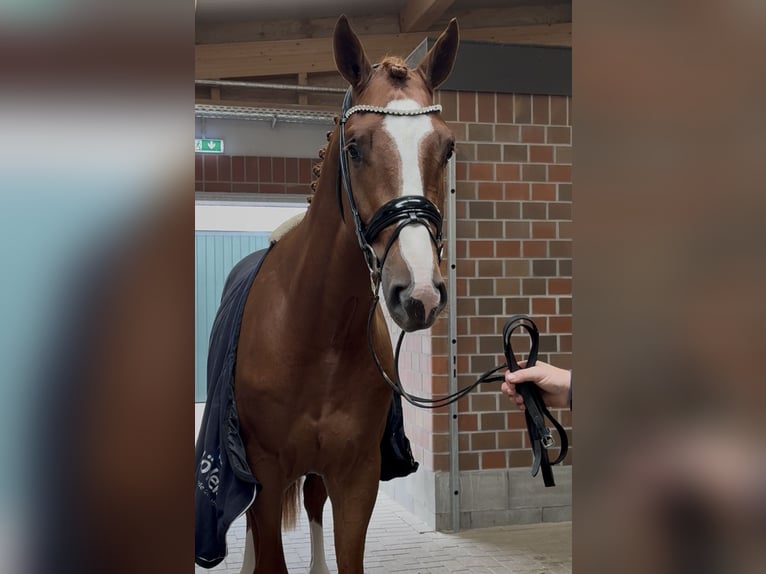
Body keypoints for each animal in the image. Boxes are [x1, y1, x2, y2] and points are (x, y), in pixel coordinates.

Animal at [233, 16, 459, 573]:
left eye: (446, 147)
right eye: (354, 147)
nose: (419, 292)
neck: (318, 331)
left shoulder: (357, 477)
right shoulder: (264, 473)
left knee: (314, 501)